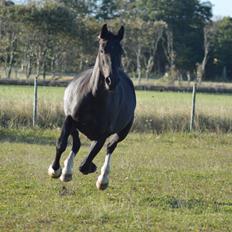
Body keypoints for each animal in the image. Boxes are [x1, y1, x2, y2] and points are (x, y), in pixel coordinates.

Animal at [48, 24, 136, 190]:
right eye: (102, 49)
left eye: (121, 51)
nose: (112, 81)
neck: (94, 96)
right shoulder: (69, 119)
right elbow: (62, 144)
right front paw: (55, 170)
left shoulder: (103, 133)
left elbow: (86, 162)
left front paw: (91, 167)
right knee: (76, 143)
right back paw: (67, 171)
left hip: (123, 131)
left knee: (110, 147)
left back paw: (103, 179)